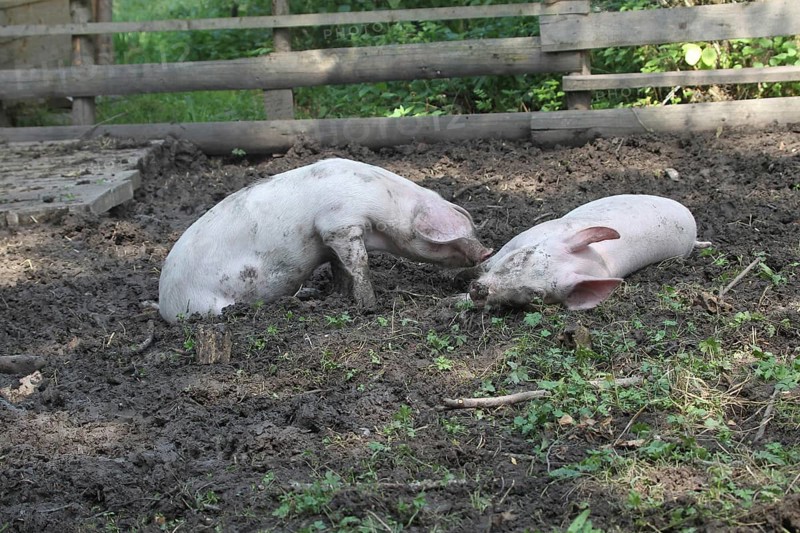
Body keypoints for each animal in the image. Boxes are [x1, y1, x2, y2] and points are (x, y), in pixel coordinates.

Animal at [158, 158, 491, 323]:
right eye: (442, 240)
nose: (487, 252)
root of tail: (165, 305)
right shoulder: (339, 223)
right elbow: (360, 263)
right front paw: (370, 306)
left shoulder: (330, 240)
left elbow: (340, 267)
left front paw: (338, 295)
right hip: (210, 306)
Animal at [468, 194, 710, 310]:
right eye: (522, 257)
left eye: (536, 295)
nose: (479, 290)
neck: (598, 259)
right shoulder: (520, 238)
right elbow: (489, 261)